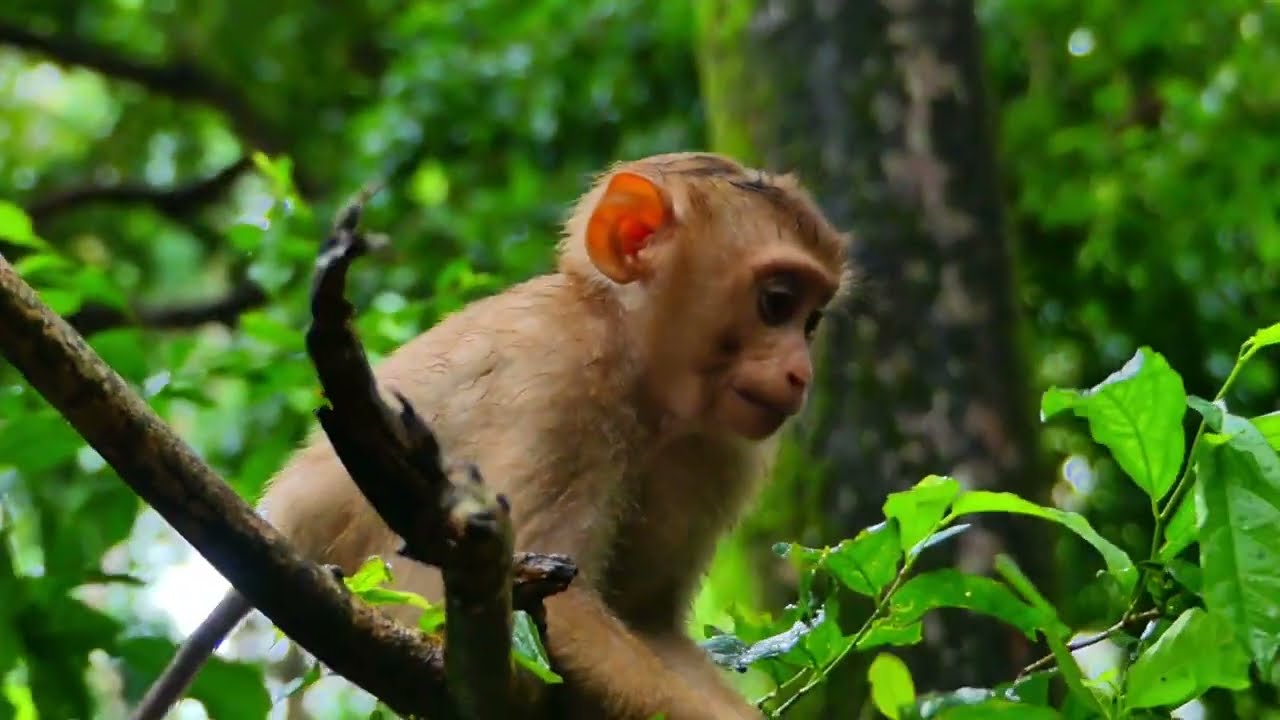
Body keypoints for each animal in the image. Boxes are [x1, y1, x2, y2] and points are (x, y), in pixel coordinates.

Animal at [132, 152, 851, 720]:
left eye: (812, 321)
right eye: (775, 302)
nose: (801, 373)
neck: (632, 358)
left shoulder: (722, 451)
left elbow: (647, 623)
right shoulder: (559, 380)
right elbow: (540, 606)